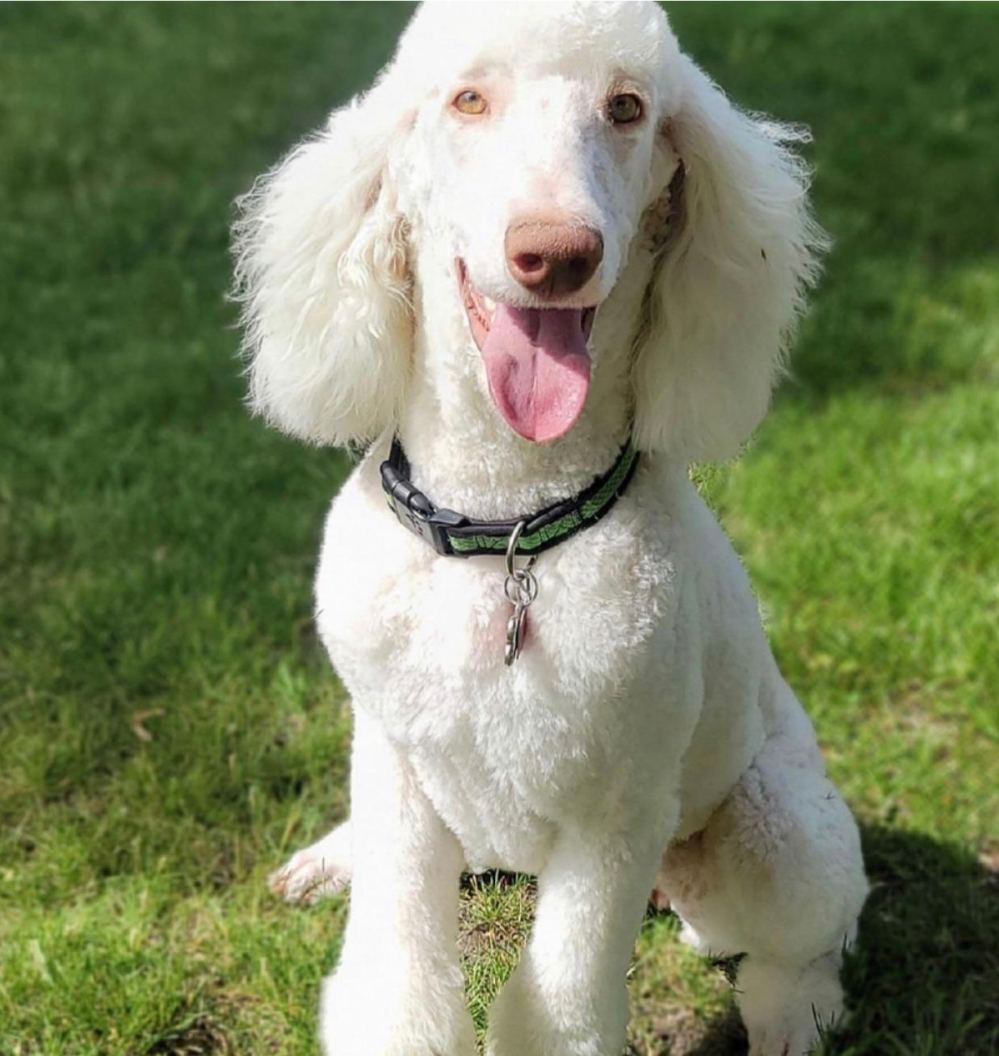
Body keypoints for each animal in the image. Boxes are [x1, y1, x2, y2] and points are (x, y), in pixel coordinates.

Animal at [231, 4, 865, 1051]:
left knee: (810, 931)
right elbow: (397, 971)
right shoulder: (396, 768)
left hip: (770, 827)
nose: (556, 254)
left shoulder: (617, 811)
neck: (505, 523)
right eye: (467, 99)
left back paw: (792, 1015)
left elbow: (560, 998)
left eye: (627, 108)